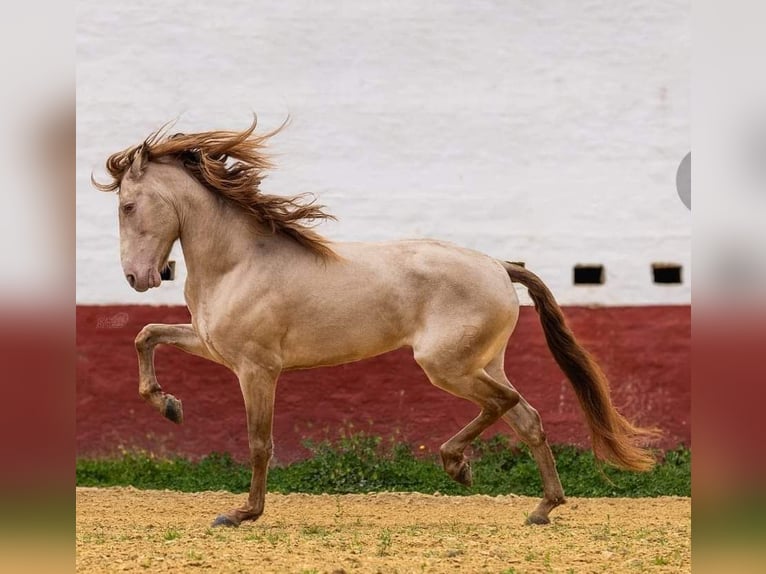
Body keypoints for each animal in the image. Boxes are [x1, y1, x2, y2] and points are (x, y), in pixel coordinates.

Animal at [93, 118, 660, 532]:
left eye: (128, 205)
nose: (138, 278)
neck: (239, 261)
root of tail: (500, 266)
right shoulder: (214, 346)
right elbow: (145, 335)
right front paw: (168, 406)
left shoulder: (256, 369)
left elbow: (259, 442)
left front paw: (241, 513)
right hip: (482, 363)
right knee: (529, 418)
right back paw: (543, 508)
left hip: (445, 365)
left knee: (504, 405)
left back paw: (458, 465)